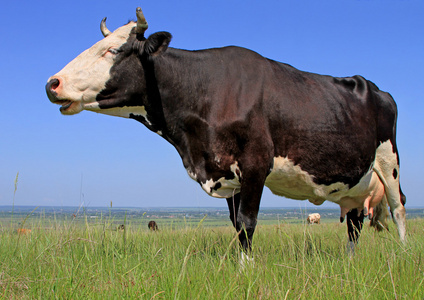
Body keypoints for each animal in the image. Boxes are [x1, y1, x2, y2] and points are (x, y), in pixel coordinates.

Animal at [44, 7, 406, 254]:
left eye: (112, 51)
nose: (52, 83)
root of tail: (373, 87)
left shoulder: (256, 163)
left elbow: (247, 223)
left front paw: (247, 272)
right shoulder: (226, 172)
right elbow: (236, 225)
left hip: (389, 161)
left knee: (398, 207)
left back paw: (402, 255)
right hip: (356, 185)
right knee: (355, 222)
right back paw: (349, 261)